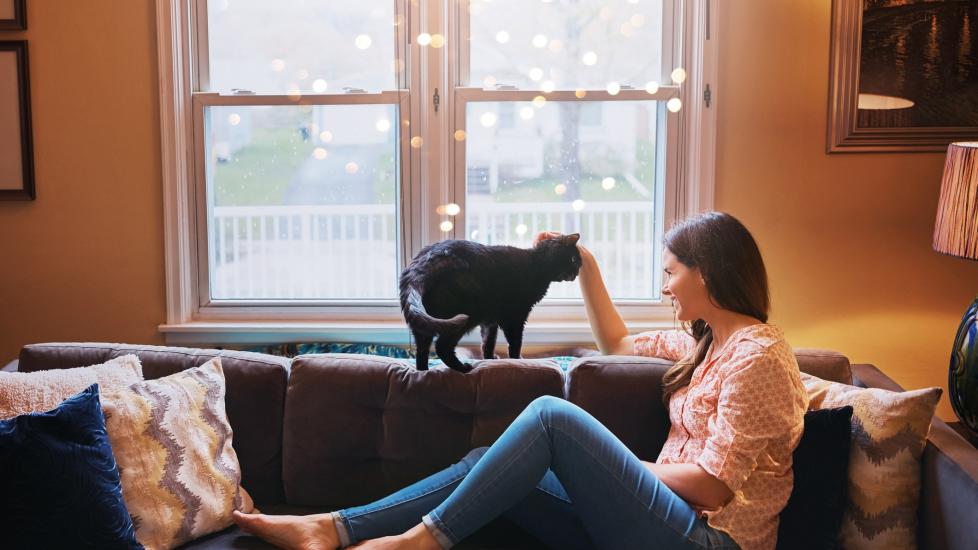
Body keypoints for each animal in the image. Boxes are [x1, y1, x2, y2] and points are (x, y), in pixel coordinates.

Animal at [396, 235, 580, 374]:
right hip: (465, 316)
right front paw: (517, 361)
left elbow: (488, 342)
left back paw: (423, 373)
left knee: (422, 350)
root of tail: (423, 262)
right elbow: (515, 343)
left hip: (424, 327)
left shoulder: (490, 321)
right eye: (574, 259)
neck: (537, 264)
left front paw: (490, 360)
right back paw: (463, 368)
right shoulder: (514, 317)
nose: (577, 272)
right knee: (442, 346)